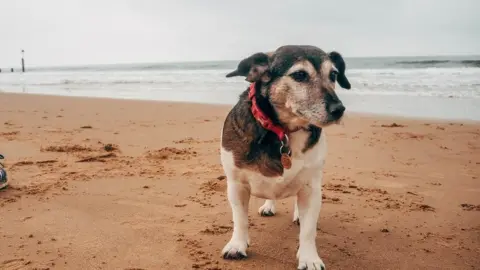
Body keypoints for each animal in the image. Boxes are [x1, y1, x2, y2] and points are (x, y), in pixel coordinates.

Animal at [219, 45, 350, 268]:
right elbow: (240, 219)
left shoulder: (311, 188)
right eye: (300, 75)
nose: (339, 109)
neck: (283, 132)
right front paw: (237, 245)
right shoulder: (237, 185)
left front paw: (309, 258)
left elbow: (308, 230)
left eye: (333, 74)